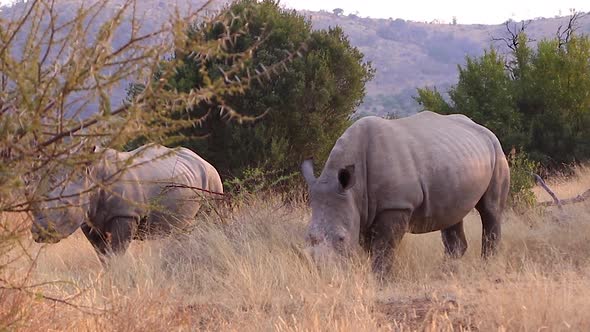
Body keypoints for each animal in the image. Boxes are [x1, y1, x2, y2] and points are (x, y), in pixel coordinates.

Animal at [30, 144, 224, 264]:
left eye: (66, 207)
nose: (39, 234)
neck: (93, 176)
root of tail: (204, 160)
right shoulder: (88, 219)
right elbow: (102, 254)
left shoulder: (125, 214)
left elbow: (116, 252)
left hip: (213, 180)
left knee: (210, 221)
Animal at [302, 111, 512, 274]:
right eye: (309, 237)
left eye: (341, 238)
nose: (323, 272)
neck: (354, 190)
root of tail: (484, 129)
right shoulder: (360, 209)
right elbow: (370, 248)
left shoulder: (396, 206)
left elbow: (383, 248)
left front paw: (381, 280)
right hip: (457, 159)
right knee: (452, 214)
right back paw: (446, 273)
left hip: (497, 152)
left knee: (490, 209)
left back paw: (486, 267)